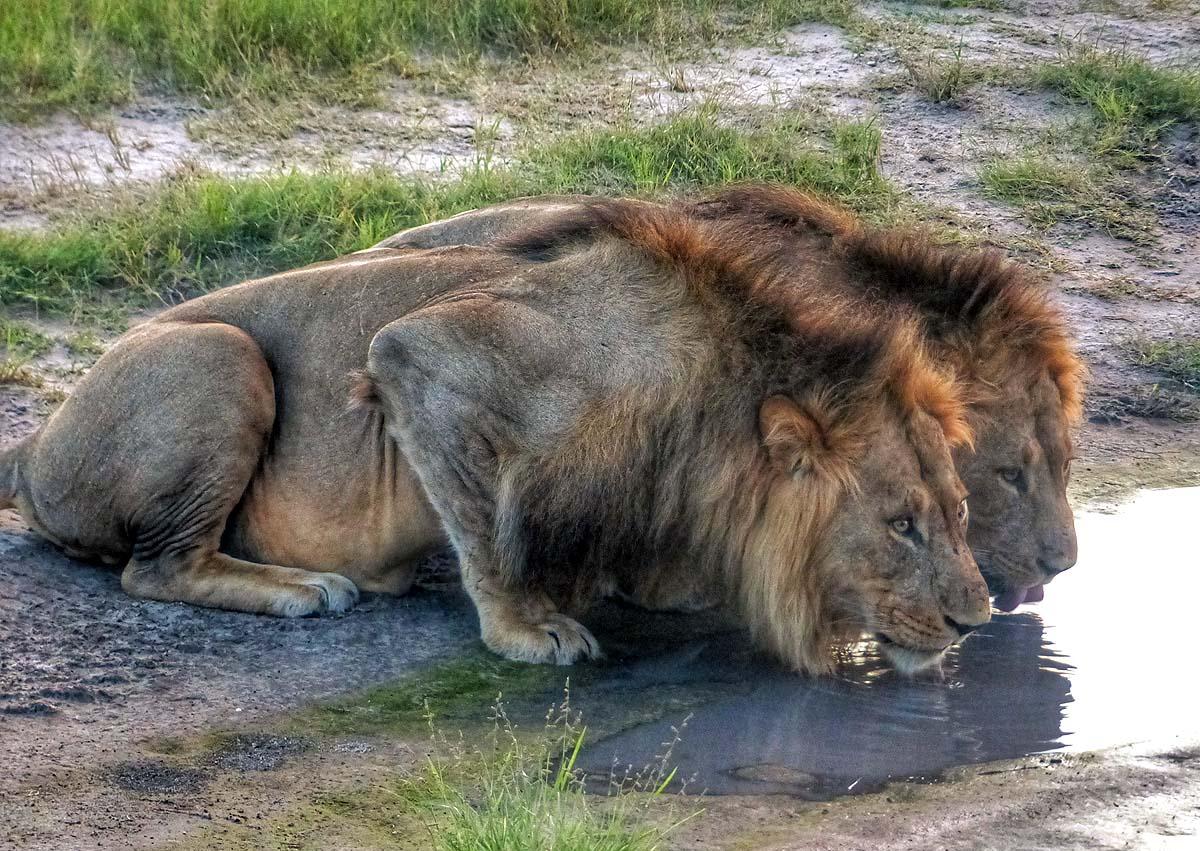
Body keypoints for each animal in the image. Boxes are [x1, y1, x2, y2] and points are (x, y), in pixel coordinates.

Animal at [0, 198, 984, 672]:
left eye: (960, 511)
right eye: (900, 524)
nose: (978, 621)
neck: (709, 398)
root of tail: (32, 446)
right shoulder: (421, 359)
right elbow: (484, 528)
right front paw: (526, 627)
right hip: (223, 356)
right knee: (156, 567)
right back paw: (303, 587)